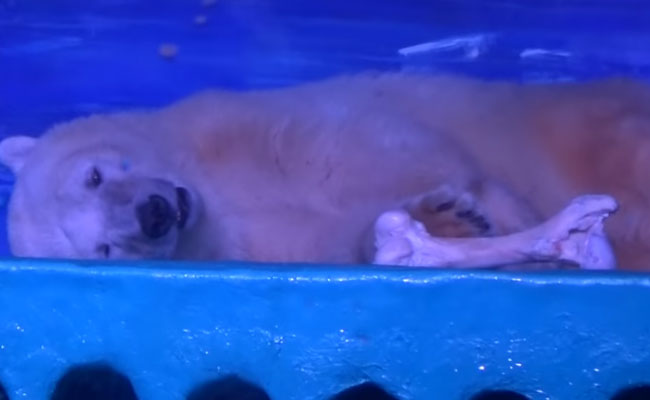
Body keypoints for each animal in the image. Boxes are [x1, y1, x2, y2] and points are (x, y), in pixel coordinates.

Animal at [1, 72, 649, 269]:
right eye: (104, 250)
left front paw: (468, 206)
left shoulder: (246, 127)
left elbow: (373, 147)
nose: (156, 214)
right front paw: (447, 220)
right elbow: (340, 239)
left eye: (93, 175)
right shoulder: (255, 246)